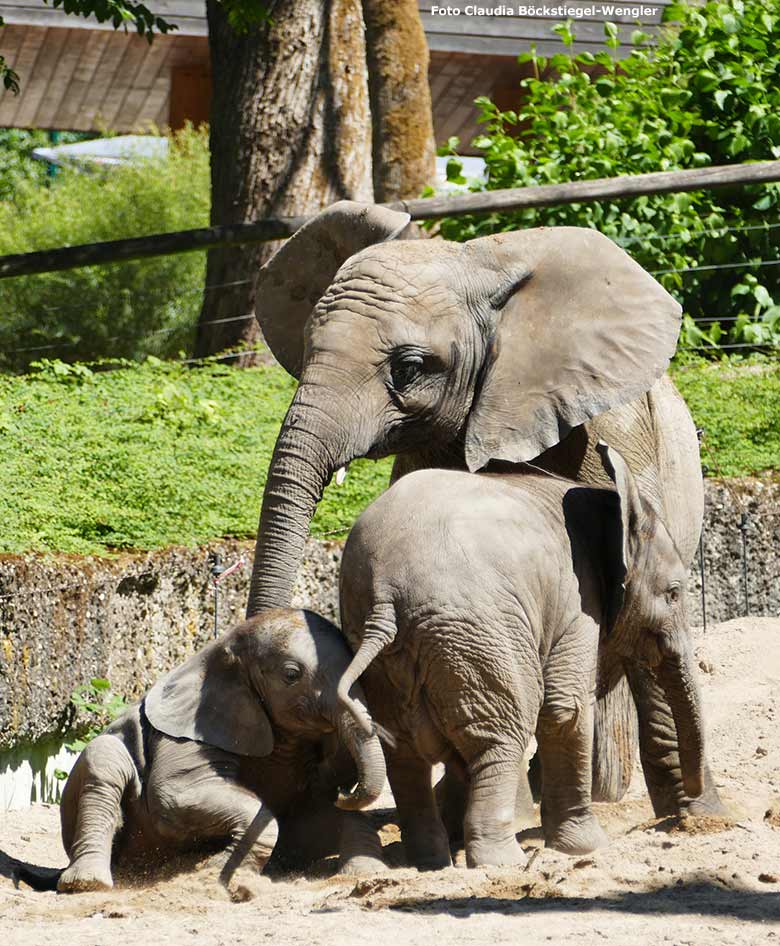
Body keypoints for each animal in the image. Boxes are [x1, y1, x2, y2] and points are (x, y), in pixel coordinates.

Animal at [23, 612, 386, 892]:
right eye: (291, 675)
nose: (345, 791)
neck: (225, 648)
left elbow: (322, 814)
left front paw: (367, 872)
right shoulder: (187, 732)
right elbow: (174, 794)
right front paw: (216, 873)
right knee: (105, 760)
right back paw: (89, 884)